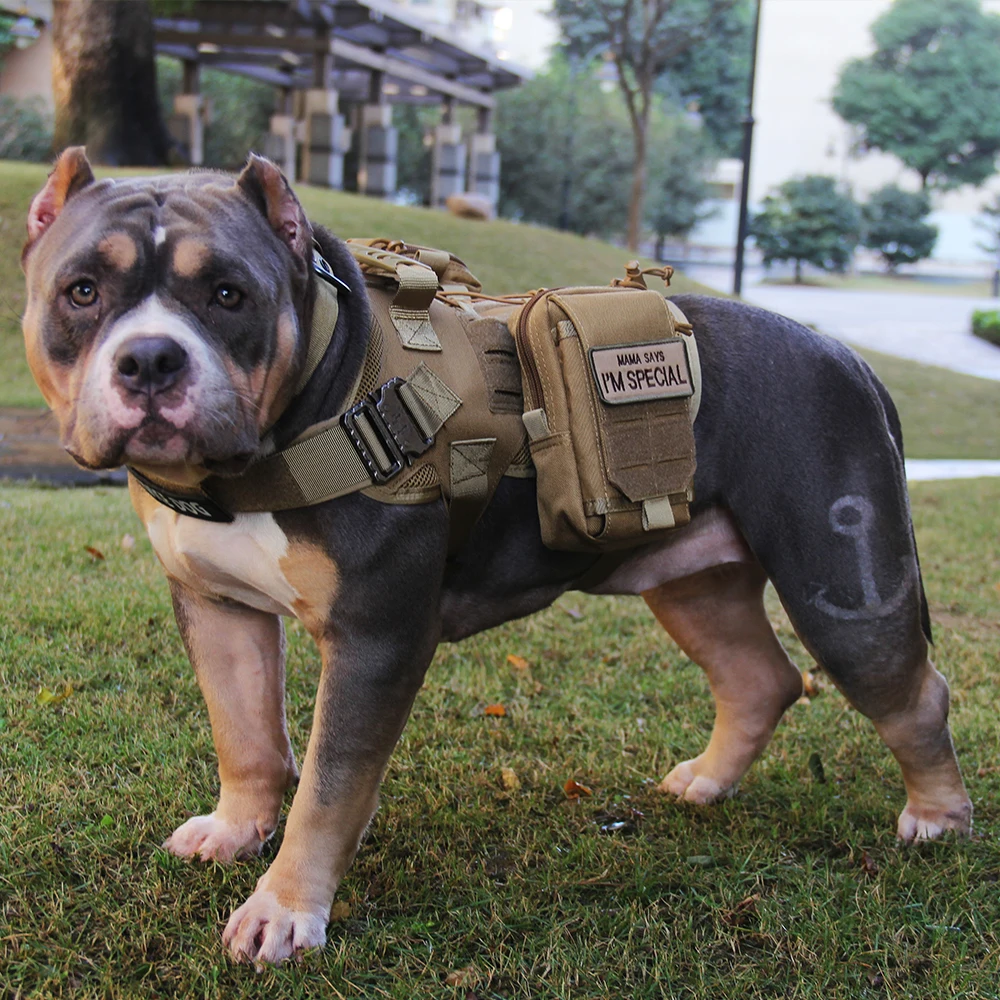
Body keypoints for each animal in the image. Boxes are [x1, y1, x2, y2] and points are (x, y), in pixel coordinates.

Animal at [21, 146, 976, 960]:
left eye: (228, 295)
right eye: (81, 291)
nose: (150, 359)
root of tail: (844, 351)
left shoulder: (374, 641)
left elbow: (328, 786)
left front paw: (285, 911)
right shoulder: (216, 607)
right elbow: (244, 733)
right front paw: (235, 828)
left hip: (841, 580)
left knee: (910, 692)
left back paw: (937, 817)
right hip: (694, 581)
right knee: (759, 678)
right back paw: (706, 782)